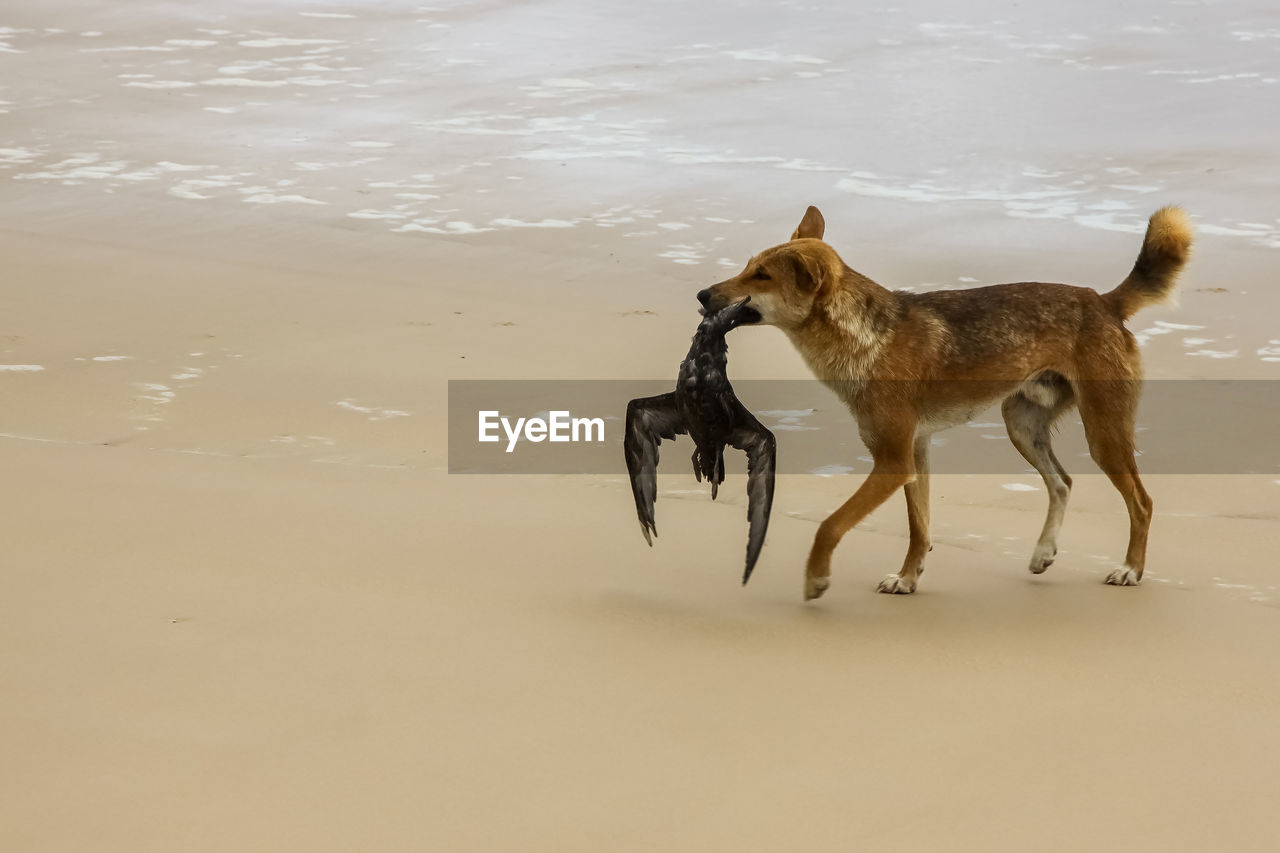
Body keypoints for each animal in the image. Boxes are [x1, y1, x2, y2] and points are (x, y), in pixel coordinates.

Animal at [696, 201, 1192, 596]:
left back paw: (1131, 570)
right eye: (746, 266)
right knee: (1063, 482)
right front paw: (908, 579)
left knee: (1141, 503)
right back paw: (1043, 553)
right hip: (1021, 425)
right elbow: (919, 529)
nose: (702, 293)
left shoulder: (893, 460)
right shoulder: (914, 452)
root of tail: (1105, 302)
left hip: (1103, 434)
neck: (866, 338)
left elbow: (830, 524)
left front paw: (817, 578)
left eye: (761, 276)